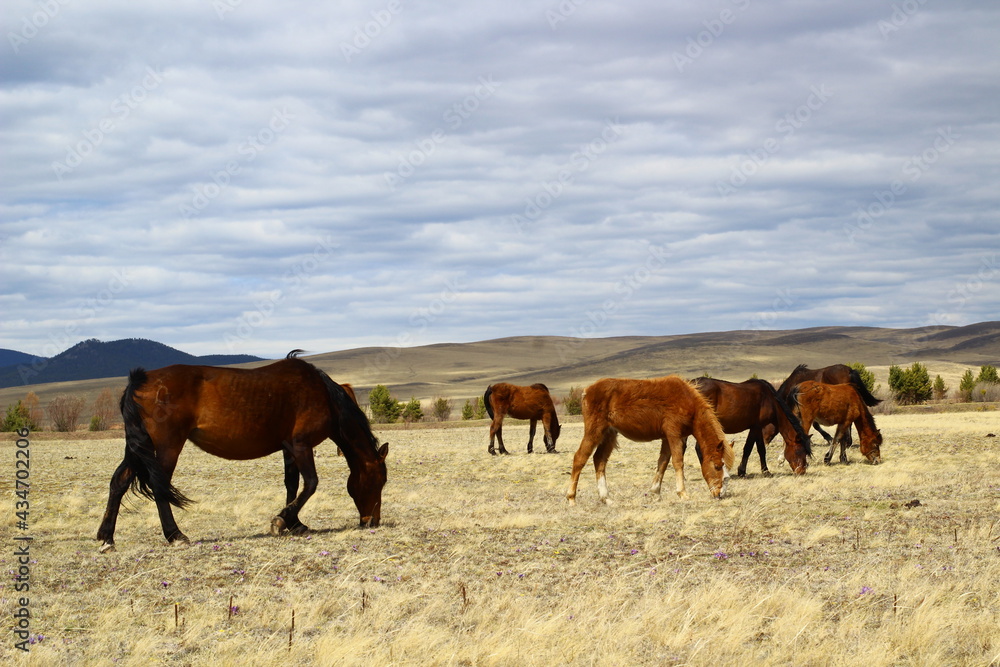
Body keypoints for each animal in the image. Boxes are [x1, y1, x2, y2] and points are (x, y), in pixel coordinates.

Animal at [96, 351, 389, 552]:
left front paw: (294, 522)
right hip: (166, 446)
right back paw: (175, 535)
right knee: (159, 486)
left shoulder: (289, 449)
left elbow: (292, 484)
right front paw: (282, 520)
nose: (372, 521)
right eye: (379, 481)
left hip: (138, 449)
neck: (324, 396)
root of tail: (141, 380)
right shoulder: (302, 445)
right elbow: (311, 484)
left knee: (119, 481)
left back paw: (107, 538)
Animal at [566, 376, 735, 505]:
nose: (719, 494)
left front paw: (655, 492)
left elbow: (663, 463)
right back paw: (571, 498)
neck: (688, 401)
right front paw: (683, 494)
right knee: (580, 458)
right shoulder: (674, 434)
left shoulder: (667, 438)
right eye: (717, 466)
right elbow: (678, 462)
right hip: (594, 431)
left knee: (599, 460)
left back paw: (606, 498)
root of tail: (587, 391)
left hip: (609, 434)